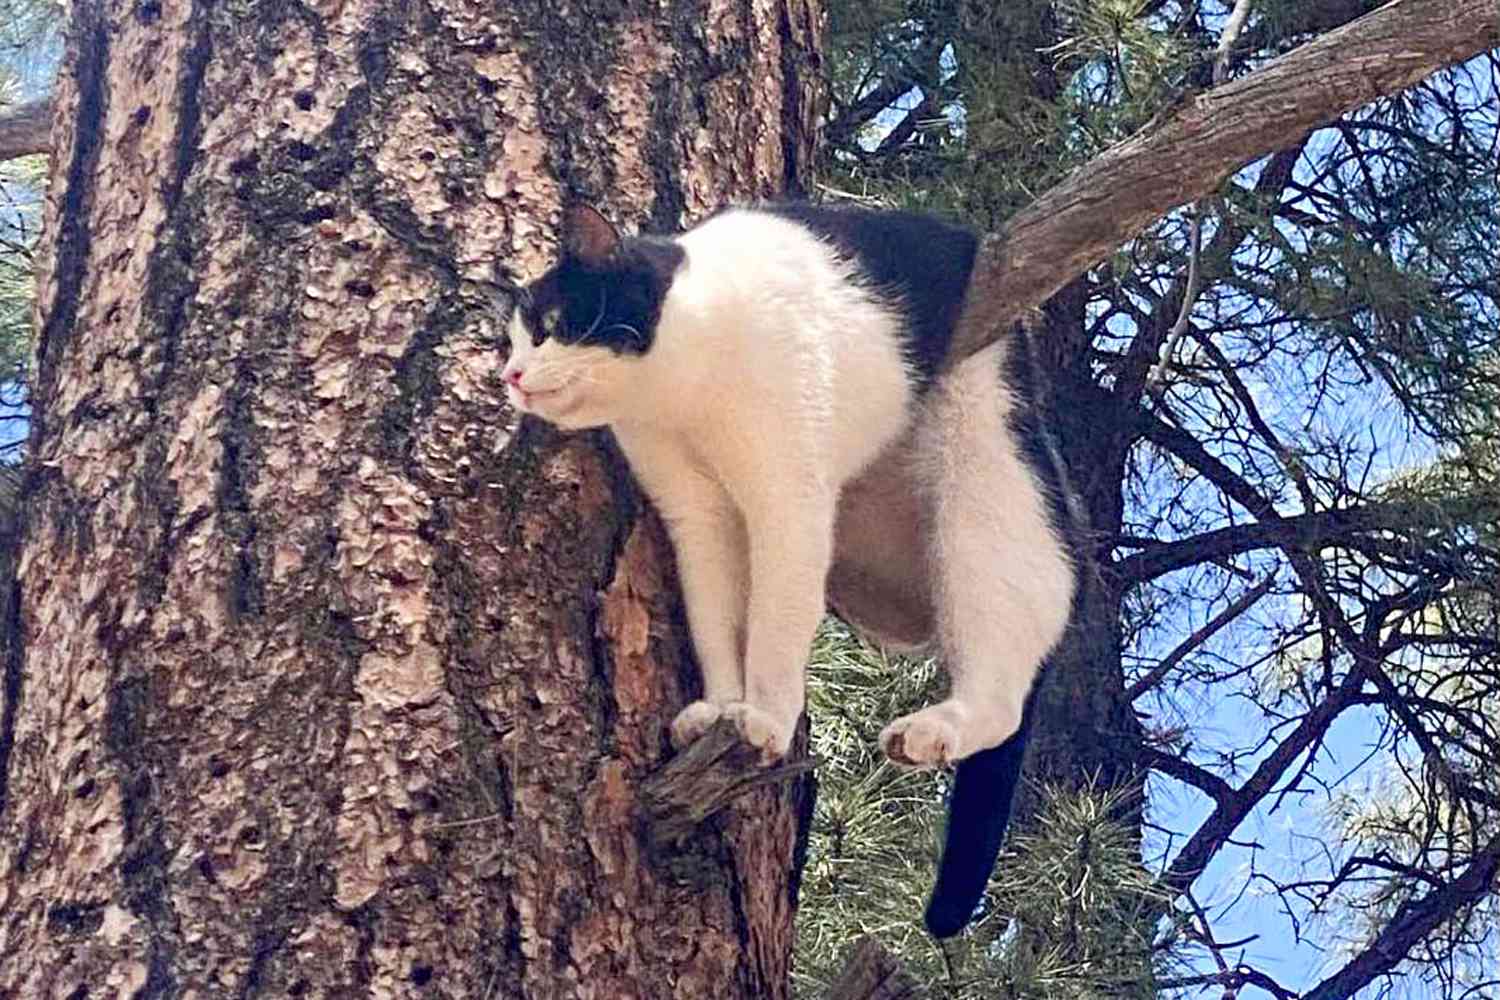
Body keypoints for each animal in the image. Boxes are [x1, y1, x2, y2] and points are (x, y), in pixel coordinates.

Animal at [504, 203, 1080, 941]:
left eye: (550, 324)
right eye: (513, 338)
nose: (512, 376)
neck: (682, 388)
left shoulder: (789, 501)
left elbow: (775, 631)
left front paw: (767, 720)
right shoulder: (699, 517)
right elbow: (717, 622)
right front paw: (721, 707)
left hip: (983, 483)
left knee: (1008, 679)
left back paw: (935, 729)